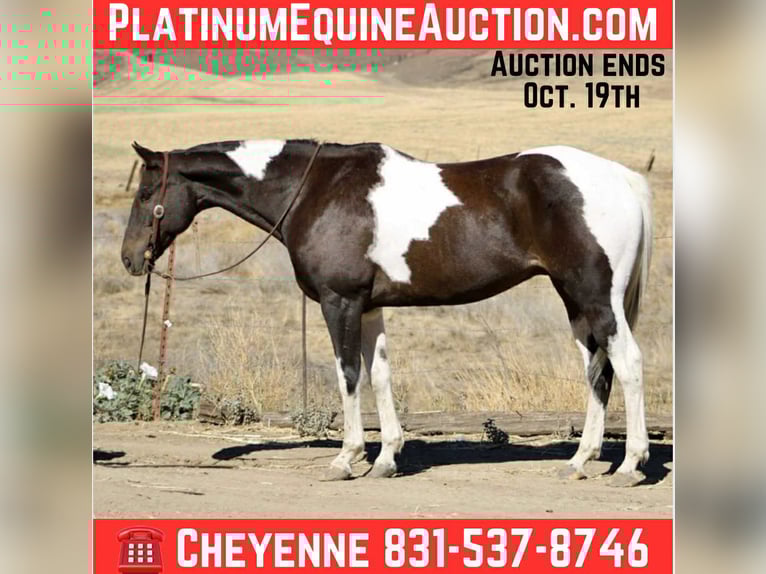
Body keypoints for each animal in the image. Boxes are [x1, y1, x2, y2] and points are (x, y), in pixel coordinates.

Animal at [121, 139, 653, 487]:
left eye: (146, 195)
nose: (129, 259)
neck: (314, 189)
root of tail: (622, 178)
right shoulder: (370, 306)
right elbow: (379, 376)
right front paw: (385, 459)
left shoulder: (340, 301)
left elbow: (348, 376)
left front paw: (346, 458)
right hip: (576, 301)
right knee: (597, 372)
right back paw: (580, 461)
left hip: (596, 297)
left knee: (626, 365)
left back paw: (630, 466)